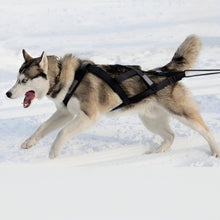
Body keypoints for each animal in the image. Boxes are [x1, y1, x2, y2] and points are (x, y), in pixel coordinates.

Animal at [5, 34, 220, 158]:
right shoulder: (65, 113)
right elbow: (43, 127)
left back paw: (215, 152)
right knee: (170, 135)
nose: (7, 93)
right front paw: (29, 142)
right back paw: (156, 153)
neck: (64, 76)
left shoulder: (88, 116)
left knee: (206, 131)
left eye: (24, 80)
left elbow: (62, 133)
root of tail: (163, 71)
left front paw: (53, 152)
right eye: (16, 79)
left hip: (183, 113)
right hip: (151, 120)